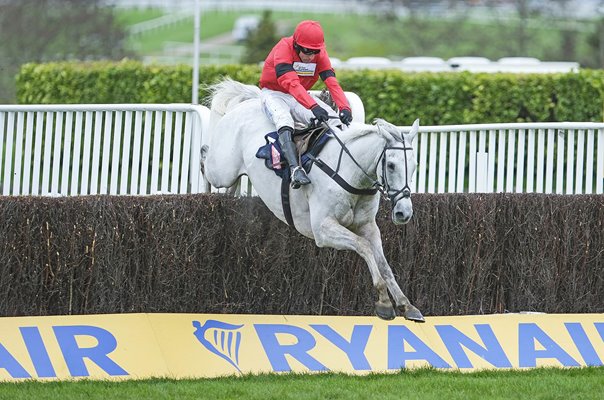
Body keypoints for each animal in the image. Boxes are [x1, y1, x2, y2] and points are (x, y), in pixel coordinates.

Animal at [201, 79, 422, 322]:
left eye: (414, 165)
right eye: (390, 165)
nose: (404, 212)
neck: (349, 172)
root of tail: (248, 102)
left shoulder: (368, 227)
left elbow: (383, 263)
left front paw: (406, 304)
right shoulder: (322, 230)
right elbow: (363, 246)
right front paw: (383, 302)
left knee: (229, 184)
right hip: (222, 169)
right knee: (205, 160)